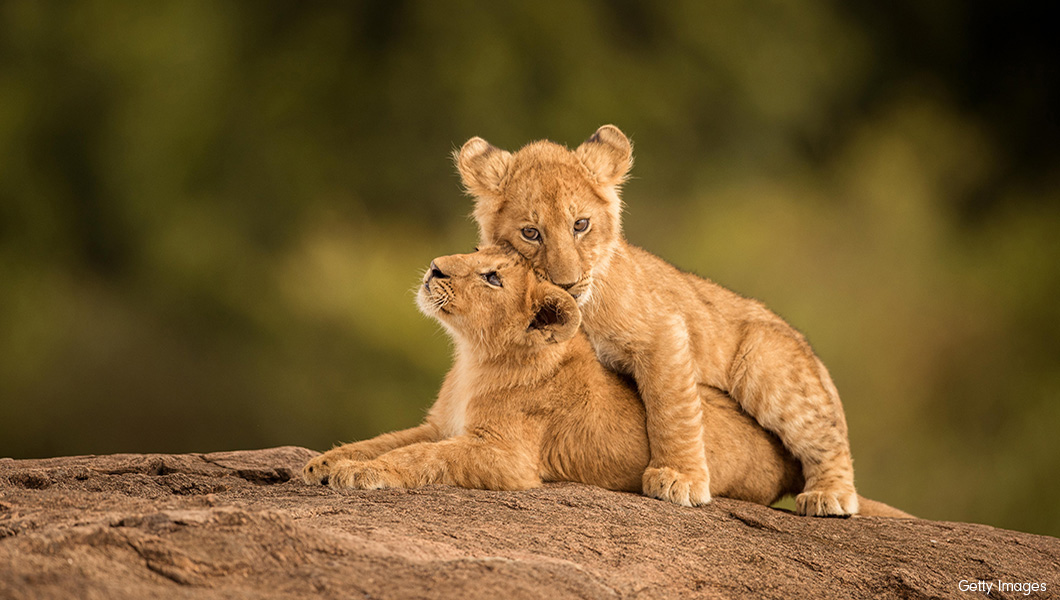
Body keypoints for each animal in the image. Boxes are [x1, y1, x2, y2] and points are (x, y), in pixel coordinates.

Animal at [302, 248, 911, 518]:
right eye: (475, 251)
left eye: (492, 276)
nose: (433, 267)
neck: (474, 357)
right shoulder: (436, 423)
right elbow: (388, 441)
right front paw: (325, 463)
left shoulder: (506, 458)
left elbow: (421, 458)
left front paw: (361, 475)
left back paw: (827, 497)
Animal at [456, 125, 861, 516]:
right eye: (530, 232)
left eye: (580, 225)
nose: (566, 284)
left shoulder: (663, 330)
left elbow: (671, 409)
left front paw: (679, 478)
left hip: (765, 362)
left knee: (828, 436)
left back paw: (830, 495)